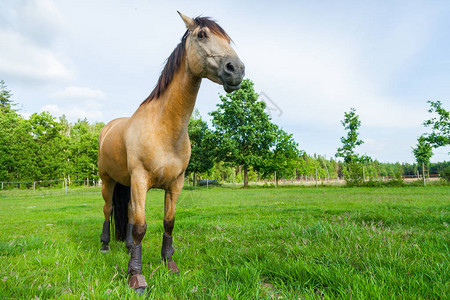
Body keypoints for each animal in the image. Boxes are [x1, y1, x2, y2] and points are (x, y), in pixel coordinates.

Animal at [97, 12, 244, 292]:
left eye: (228, 39)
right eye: (202, 35)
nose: (237, 70)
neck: (163, 127)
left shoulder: (175, 183)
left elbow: (168, 222)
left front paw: (169, 264)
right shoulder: (140, 179)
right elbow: (141, 227)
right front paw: (136, 276)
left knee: (128, 211)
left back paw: (128, 246)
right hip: (107, 180)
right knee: (108, 210)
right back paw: (105, 245)